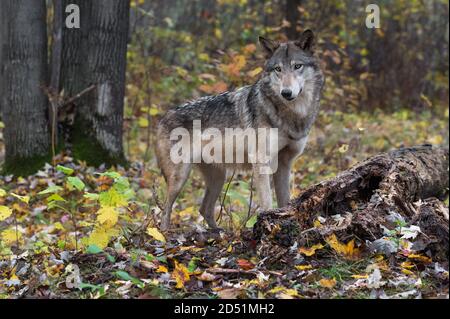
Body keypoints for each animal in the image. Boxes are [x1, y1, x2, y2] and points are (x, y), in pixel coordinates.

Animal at [156, 29, 326, 230]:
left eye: (297, 66)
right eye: (278, 69)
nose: (286, 93)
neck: (292, 114)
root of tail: (163, 116)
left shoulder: (285, 163)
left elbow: (285, 200)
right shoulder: (261, 161)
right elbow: (267, 201)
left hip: (219, 178)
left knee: (204, 209)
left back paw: (218, 233)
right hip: (180, 177)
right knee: (165, 210)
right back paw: (164, 234)